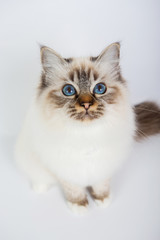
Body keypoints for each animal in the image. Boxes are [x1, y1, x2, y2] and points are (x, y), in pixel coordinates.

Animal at [15, 42, 160, 216]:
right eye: (68, 90)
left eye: (100, 88)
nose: (86, 104)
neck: (86, 135)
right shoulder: (66, 167)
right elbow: (74, 190)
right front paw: (79, 205)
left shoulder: (103, 163)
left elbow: (101, 185)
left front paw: (102, 199)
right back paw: (40, 187)